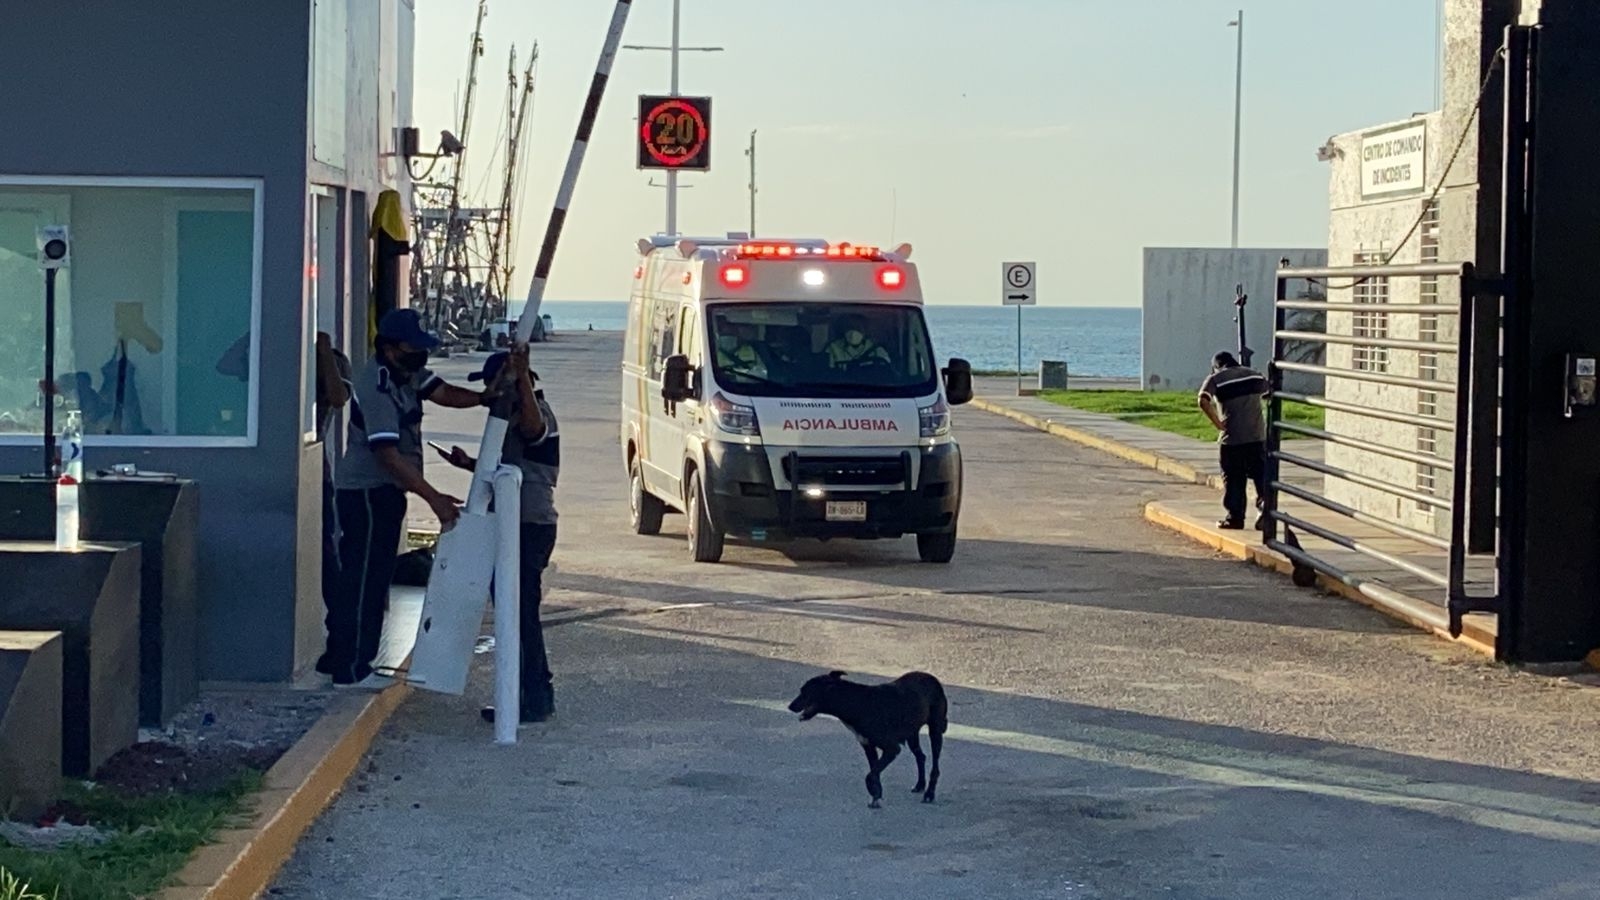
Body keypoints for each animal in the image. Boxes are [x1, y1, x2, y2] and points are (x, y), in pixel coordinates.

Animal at [790, 666, 947, 807]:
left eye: (805, 692)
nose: (790, 706)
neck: (859, 704)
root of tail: (932, 678)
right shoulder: (868, 746)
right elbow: (874, 773)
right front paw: (876, 795)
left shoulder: (892, 749)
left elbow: (870, 775)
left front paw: (873, 792)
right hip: (912, 734)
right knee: (921, 756)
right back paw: (920, 785)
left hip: (935, 731)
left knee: (935, 766)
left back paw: (929, 793)